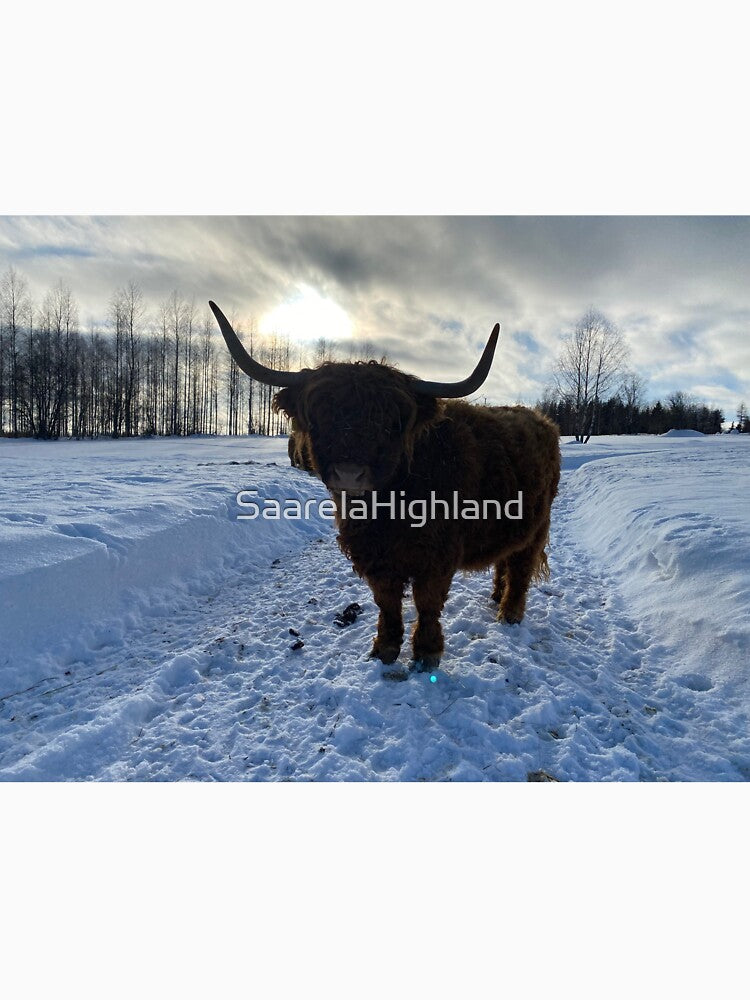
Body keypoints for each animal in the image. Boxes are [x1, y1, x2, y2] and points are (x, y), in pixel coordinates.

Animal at [210, 301, 560, 672]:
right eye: (320, 416)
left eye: (390, 422)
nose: (349, 474)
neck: (387, 509)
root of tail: (542, 420)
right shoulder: (374, 556)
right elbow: (387, 603)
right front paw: (385, 648)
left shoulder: (436, 557)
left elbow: (427, 602)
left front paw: (426, 653)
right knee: (506, 559)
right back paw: (496, 596)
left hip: (538, 526)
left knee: (521, 567)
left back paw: (509, 614)